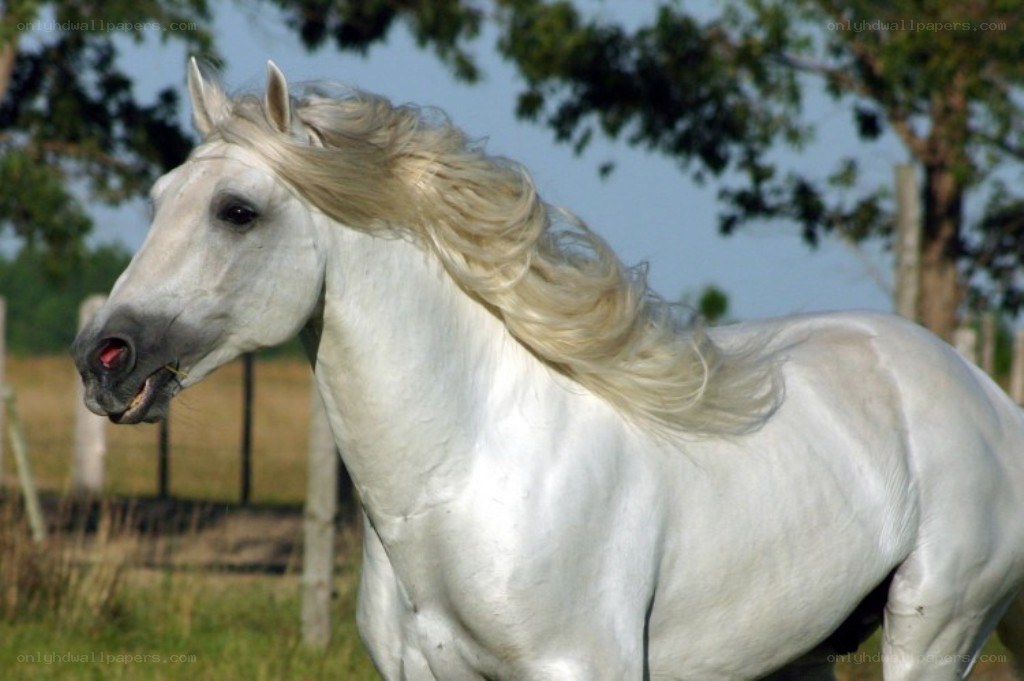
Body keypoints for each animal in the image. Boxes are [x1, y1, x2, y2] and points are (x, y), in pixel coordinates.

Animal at [72, 59, 1024, 680]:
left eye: (238, 211)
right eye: (157, 200)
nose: (103, 359)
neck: (461, 479)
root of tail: (985, 396)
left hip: (934, 634)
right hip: (795, 653)